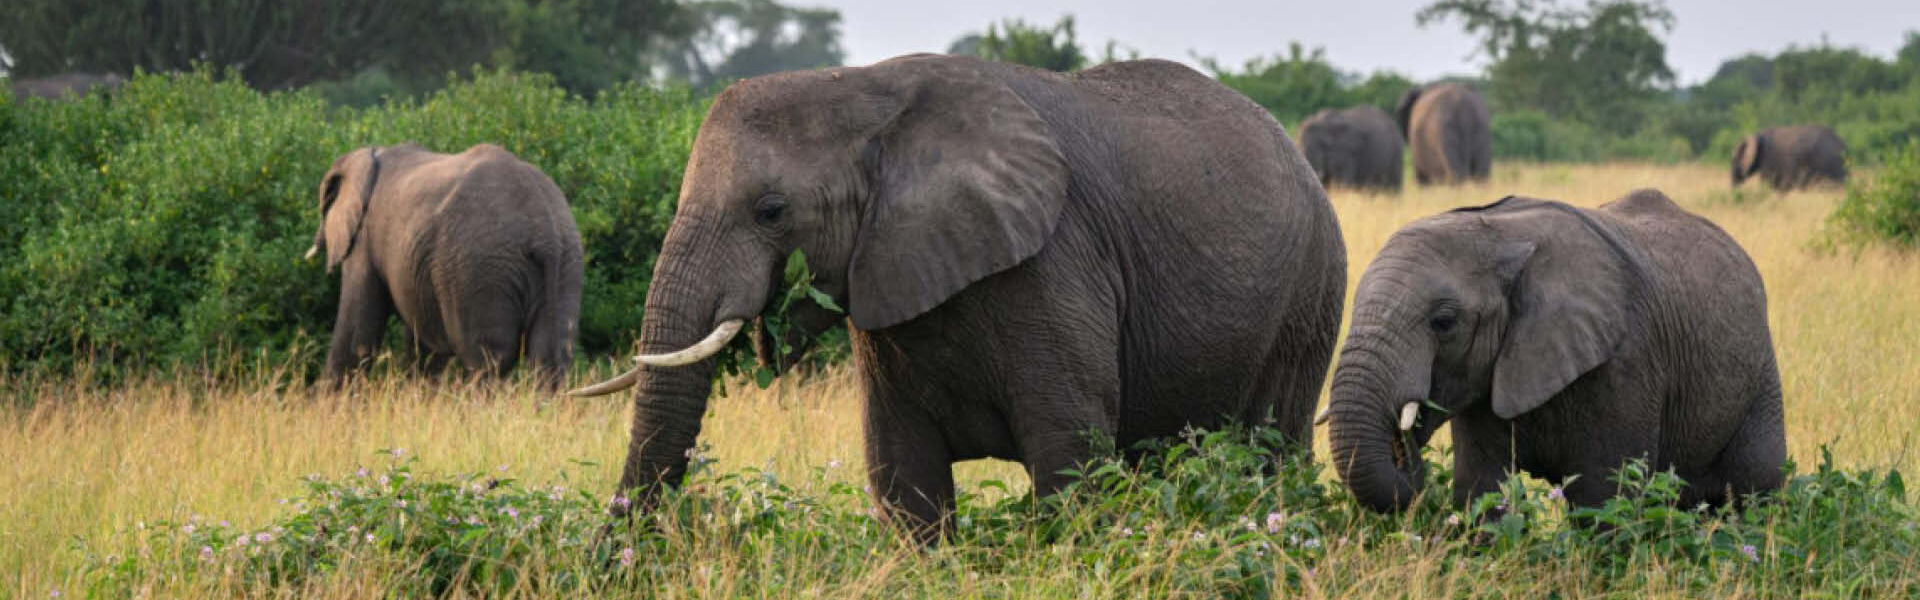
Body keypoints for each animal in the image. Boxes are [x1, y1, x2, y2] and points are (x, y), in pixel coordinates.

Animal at [308, 143, 584, 388]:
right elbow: (424, 346)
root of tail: (544, 233)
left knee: (487, 361)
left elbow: (356, 333)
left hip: (480, 268)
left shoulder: (363, 239)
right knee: (549, 359)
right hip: (565, 263)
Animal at [572, 54, 1348, 534]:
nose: (622, 556)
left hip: (1310, 297)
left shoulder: (1054, 259)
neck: (863, 92)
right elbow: (901, 469)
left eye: (770, 211)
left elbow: (1069, 453)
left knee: (1274, 449)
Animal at [1323, 189, 1785, 513]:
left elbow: (1604, 500)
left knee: (1754, 489)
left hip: (1759, 371)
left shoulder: (1625, 364)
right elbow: (1482, 489)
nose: (1404, 449)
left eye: (1444, 322)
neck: (1498, 235)